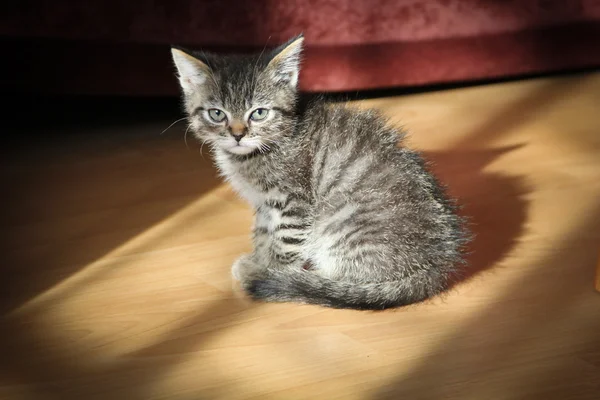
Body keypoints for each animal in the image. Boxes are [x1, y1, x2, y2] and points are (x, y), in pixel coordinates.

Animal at [169, 35, 468, 310]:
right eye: (217, 114)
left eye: (259, 113)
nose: (238, 135)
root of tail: (435, 265)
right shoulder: (264, 202)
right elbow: (263, 231)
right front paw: (258, 259)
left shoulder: (294, 199)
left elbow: (284, 241)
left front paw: (269, 271)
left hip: (342, 225)